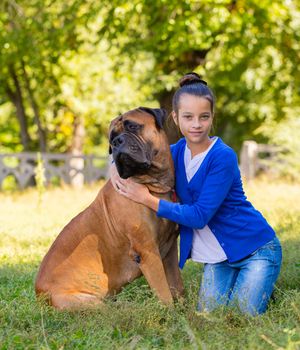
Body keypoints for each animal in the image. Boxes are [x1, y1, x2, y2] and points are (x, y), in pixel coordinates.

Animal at [35, 106, 185, 308]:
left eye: (132, 126)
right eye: (111, 137)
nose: (116, 142)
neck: (154, 186)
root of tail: (38, 293)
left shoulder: (169, 251)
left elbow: (177, 284)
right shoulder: (147, 251)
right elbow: (164, 292)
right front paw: (171, 313)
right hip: (91, 302)